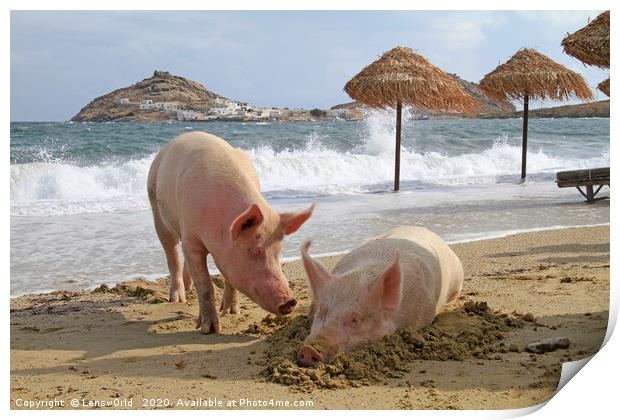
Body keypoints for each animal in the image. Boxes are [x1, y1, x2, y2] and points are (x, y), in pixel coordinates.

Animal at [148, 131, 314, 334]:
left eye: (278, 251)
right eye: (255, 250)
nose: (290, 301)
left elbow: (229, 279)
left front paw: (231, 312)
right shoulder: (191, 236)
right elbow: (205, 285)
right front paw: (210, 329)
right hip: (155, 201)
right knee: (171, 253)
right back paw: (178, 299)